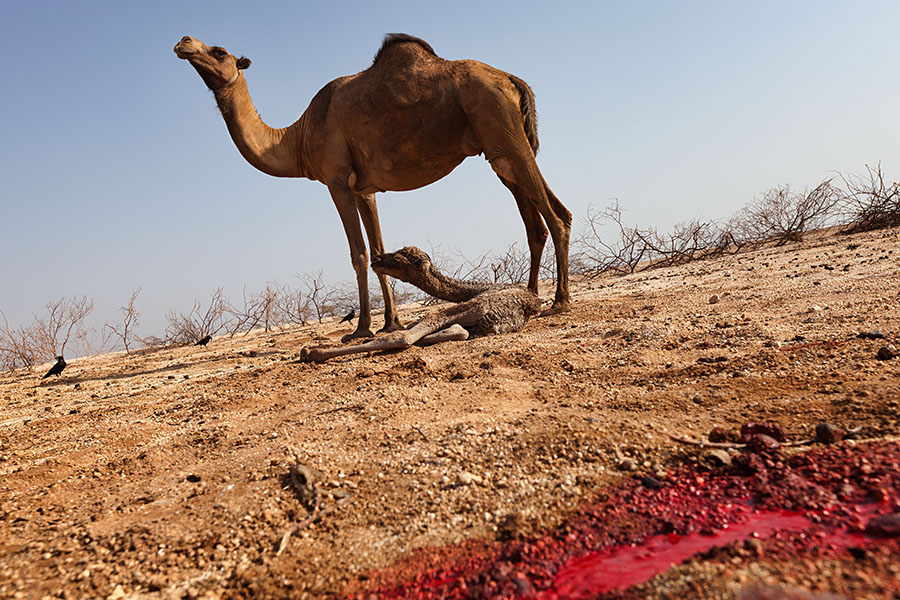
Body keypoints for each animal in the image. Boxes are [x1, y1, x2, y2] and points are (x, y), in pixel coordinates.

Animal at [174, 34, 571, 341]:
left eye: (220, 52)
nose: (184, 42)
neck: (297, 137)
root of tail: (511, 78)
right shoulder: (365, 188)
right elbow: (379, 249)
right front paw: (390, 323)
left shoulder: (336, 180)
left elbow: (359, 254)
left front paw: (361, 328)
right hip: (500, 152)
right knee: (537, 219)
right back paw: (531, 295)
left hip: (503, 131)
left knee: (556, 215)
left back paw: (560, 301)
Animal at [300, 246, 541, 362]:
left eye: (398, 260)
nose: (376, 259)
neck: (479, 287)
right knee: (458, 331)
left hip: (467, 309)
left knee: (406, 335)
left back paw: (310, 352)